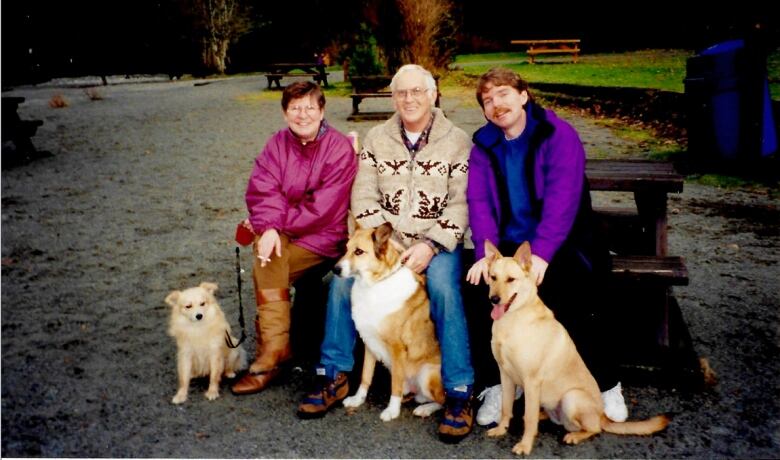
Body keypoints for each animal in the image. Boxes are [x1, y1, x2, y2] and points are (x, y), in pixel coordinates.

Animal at [336, 222, 444, 420]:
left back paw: (426, 409)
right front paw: (357, 399)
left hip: (427, 374)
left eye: (359, 252)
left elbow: (395, 384)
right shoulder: (369, 342)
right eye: (346, 249)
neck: (374, 285)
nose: (335, 269)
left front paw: (392, 411)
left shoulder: (397, 348)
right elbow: (365, 376)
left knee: (444, 400)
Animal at [484, 243, 668, 454]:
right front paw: (501, 429)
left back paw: (574, 435)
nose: (494, 299)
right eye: (493, 277)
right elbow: (506, 407)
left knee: (594, 428)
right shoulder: (505, 375)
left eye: (511, 279)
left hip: (571, 398)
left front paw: (525, 445)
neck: (513, 319)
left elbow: (529, 420)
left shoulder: (531, 381)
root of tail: (602, 414)